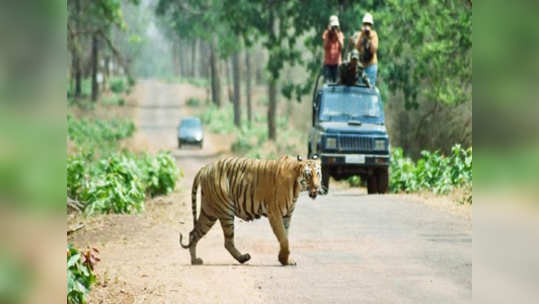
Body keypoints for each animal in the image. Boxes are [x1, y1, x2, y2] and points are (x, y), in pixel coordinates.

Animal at [179, 156, 320, 264]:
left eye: (318, 173)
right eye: (308, 175)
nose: (317, 187)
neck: (297, 188)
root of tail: (206, 167)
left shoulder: (287, 216)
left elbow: (285, 236)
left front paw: (285, 259)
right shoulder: (275, 213)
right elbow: (284, 238)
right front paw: (284, 260)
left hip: (209, 212)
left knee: (194, 233)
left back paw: (195, 260)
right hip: (225, 211)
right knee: (227, 241)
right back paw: (243, 258)